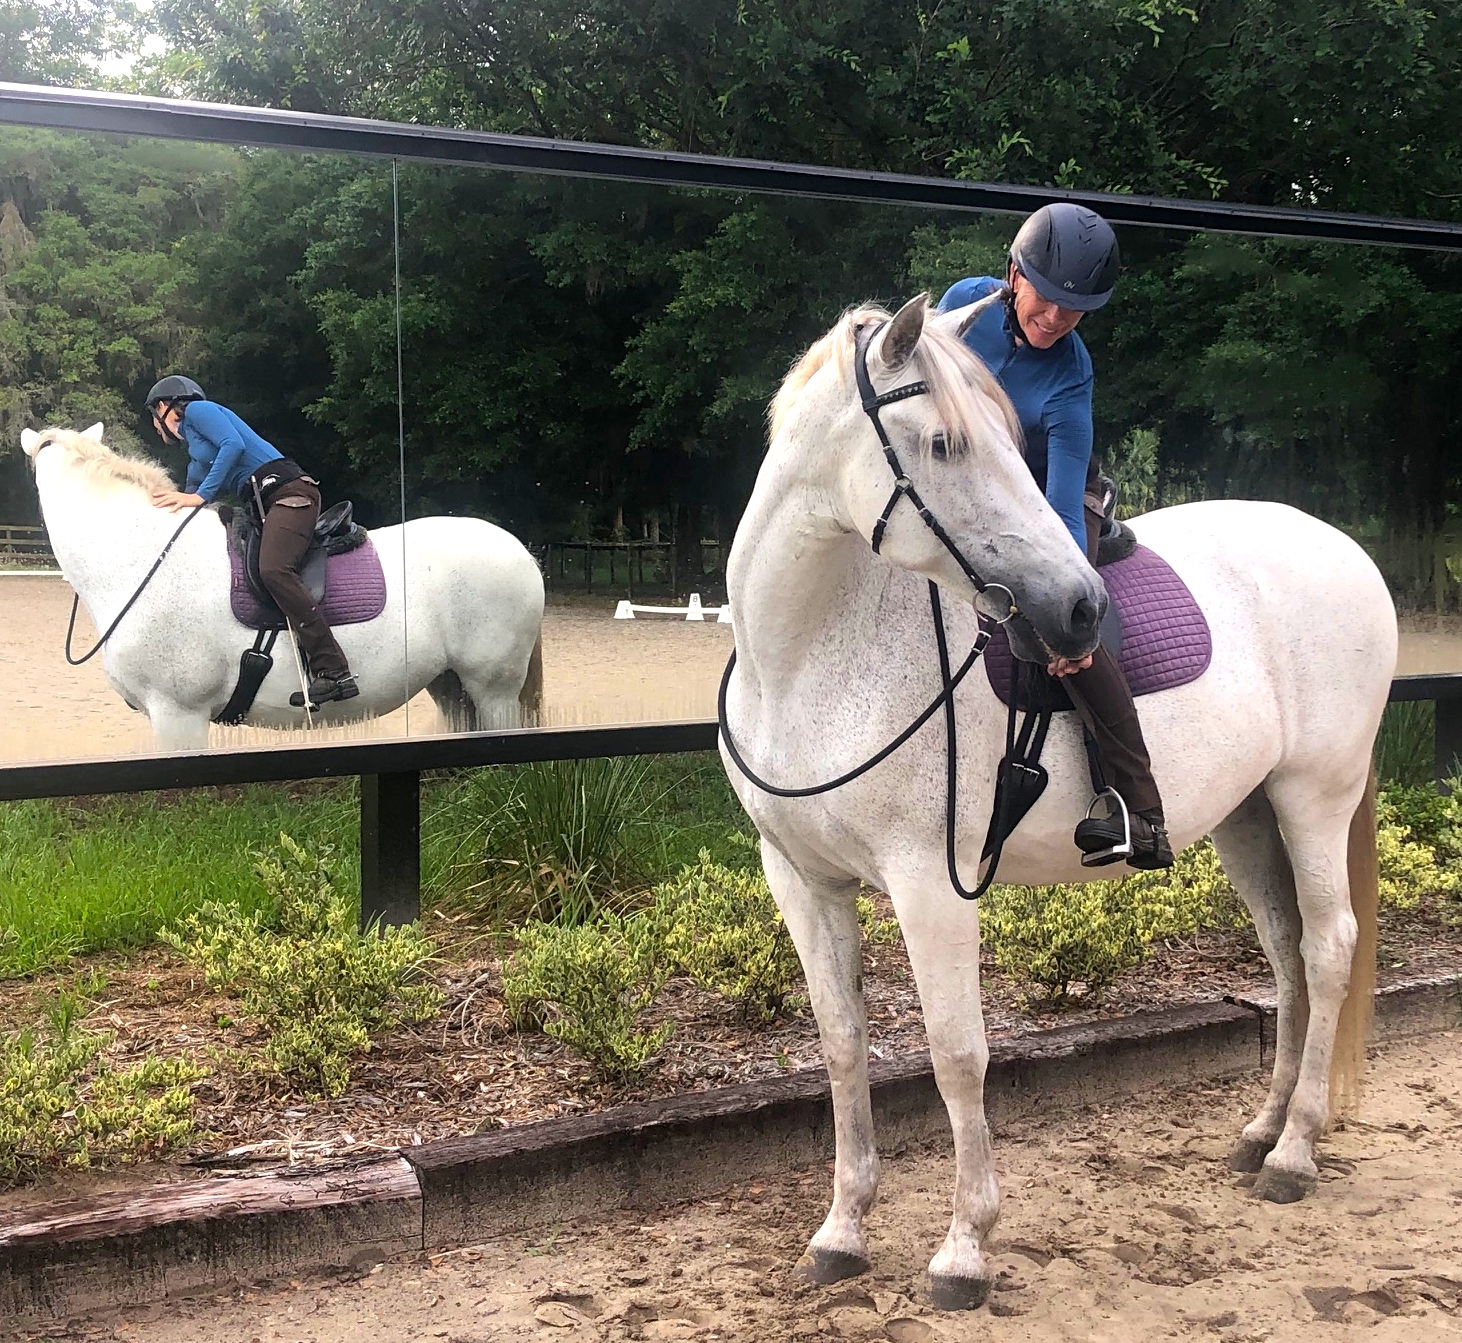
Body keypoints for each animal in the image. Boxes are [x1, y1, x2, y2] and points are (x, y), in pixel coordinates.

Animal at [718, 294, 1395, 1309]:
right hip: (1249, 816)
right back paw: (1263, 1132)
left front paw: (965, 1246)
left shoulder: (930, 884)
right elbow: (842, 1043)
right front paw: (842, 1230)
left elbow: (957, 1054)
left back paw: (1296, 1153)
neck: (809, 659)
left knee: (1327, 948)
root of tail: (1347, 548)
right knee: (1284, 953)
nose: (1080, 610)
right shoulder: (801, 879)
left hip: (1315, 798)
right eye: (944, 444)